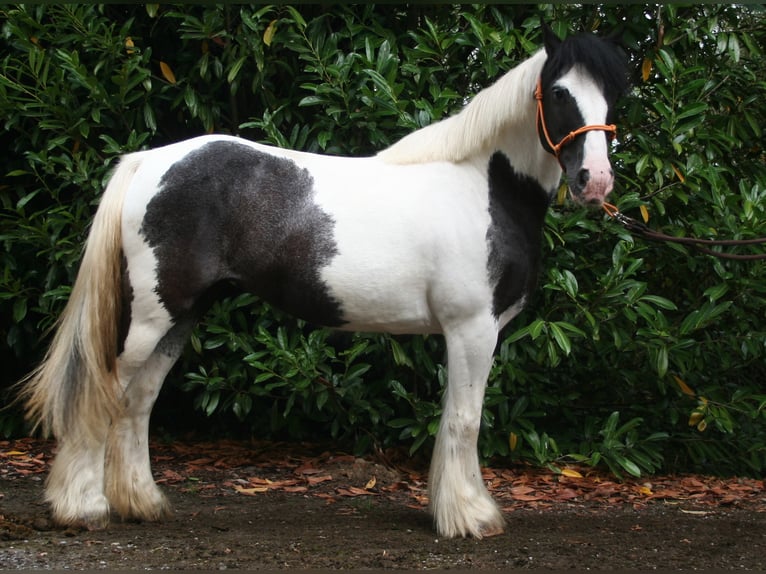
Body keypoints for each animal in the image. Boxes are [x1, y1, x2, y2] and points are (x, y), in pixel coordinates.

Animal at [24, 27, 632, 540]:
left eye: (613, 96)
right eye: (558, 92)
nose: (595, 181)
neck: (483, 186)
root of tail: (148, 162)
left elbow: (454, 421)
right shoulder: (472, 330)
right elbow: (465, 421)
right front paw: (469, 518)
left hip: (180, 315)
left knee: (138, 401)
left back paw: (142, 503)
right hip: (154, 314)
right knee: (102, 392)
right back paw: (83, 508)